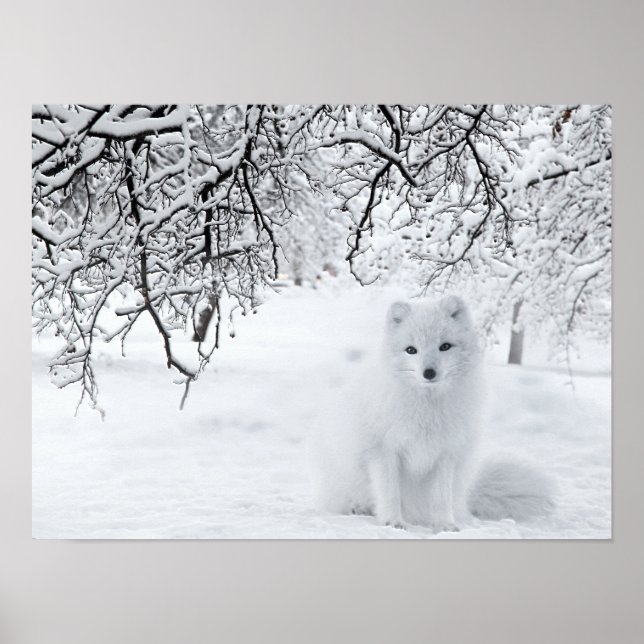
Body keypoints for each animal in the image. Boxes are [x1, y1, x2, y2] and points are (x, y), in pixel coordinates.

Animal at [313, 294, 554, 532]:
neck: (427, 409)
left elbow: (441, 498)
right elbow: (390, 493)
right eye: (411, 350)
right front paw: (392, 522)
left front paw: (444, 525)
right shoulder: (383, 451)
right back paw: (358, 508)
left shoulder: (446, 454)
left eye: (445, 346)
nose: (429, 372)